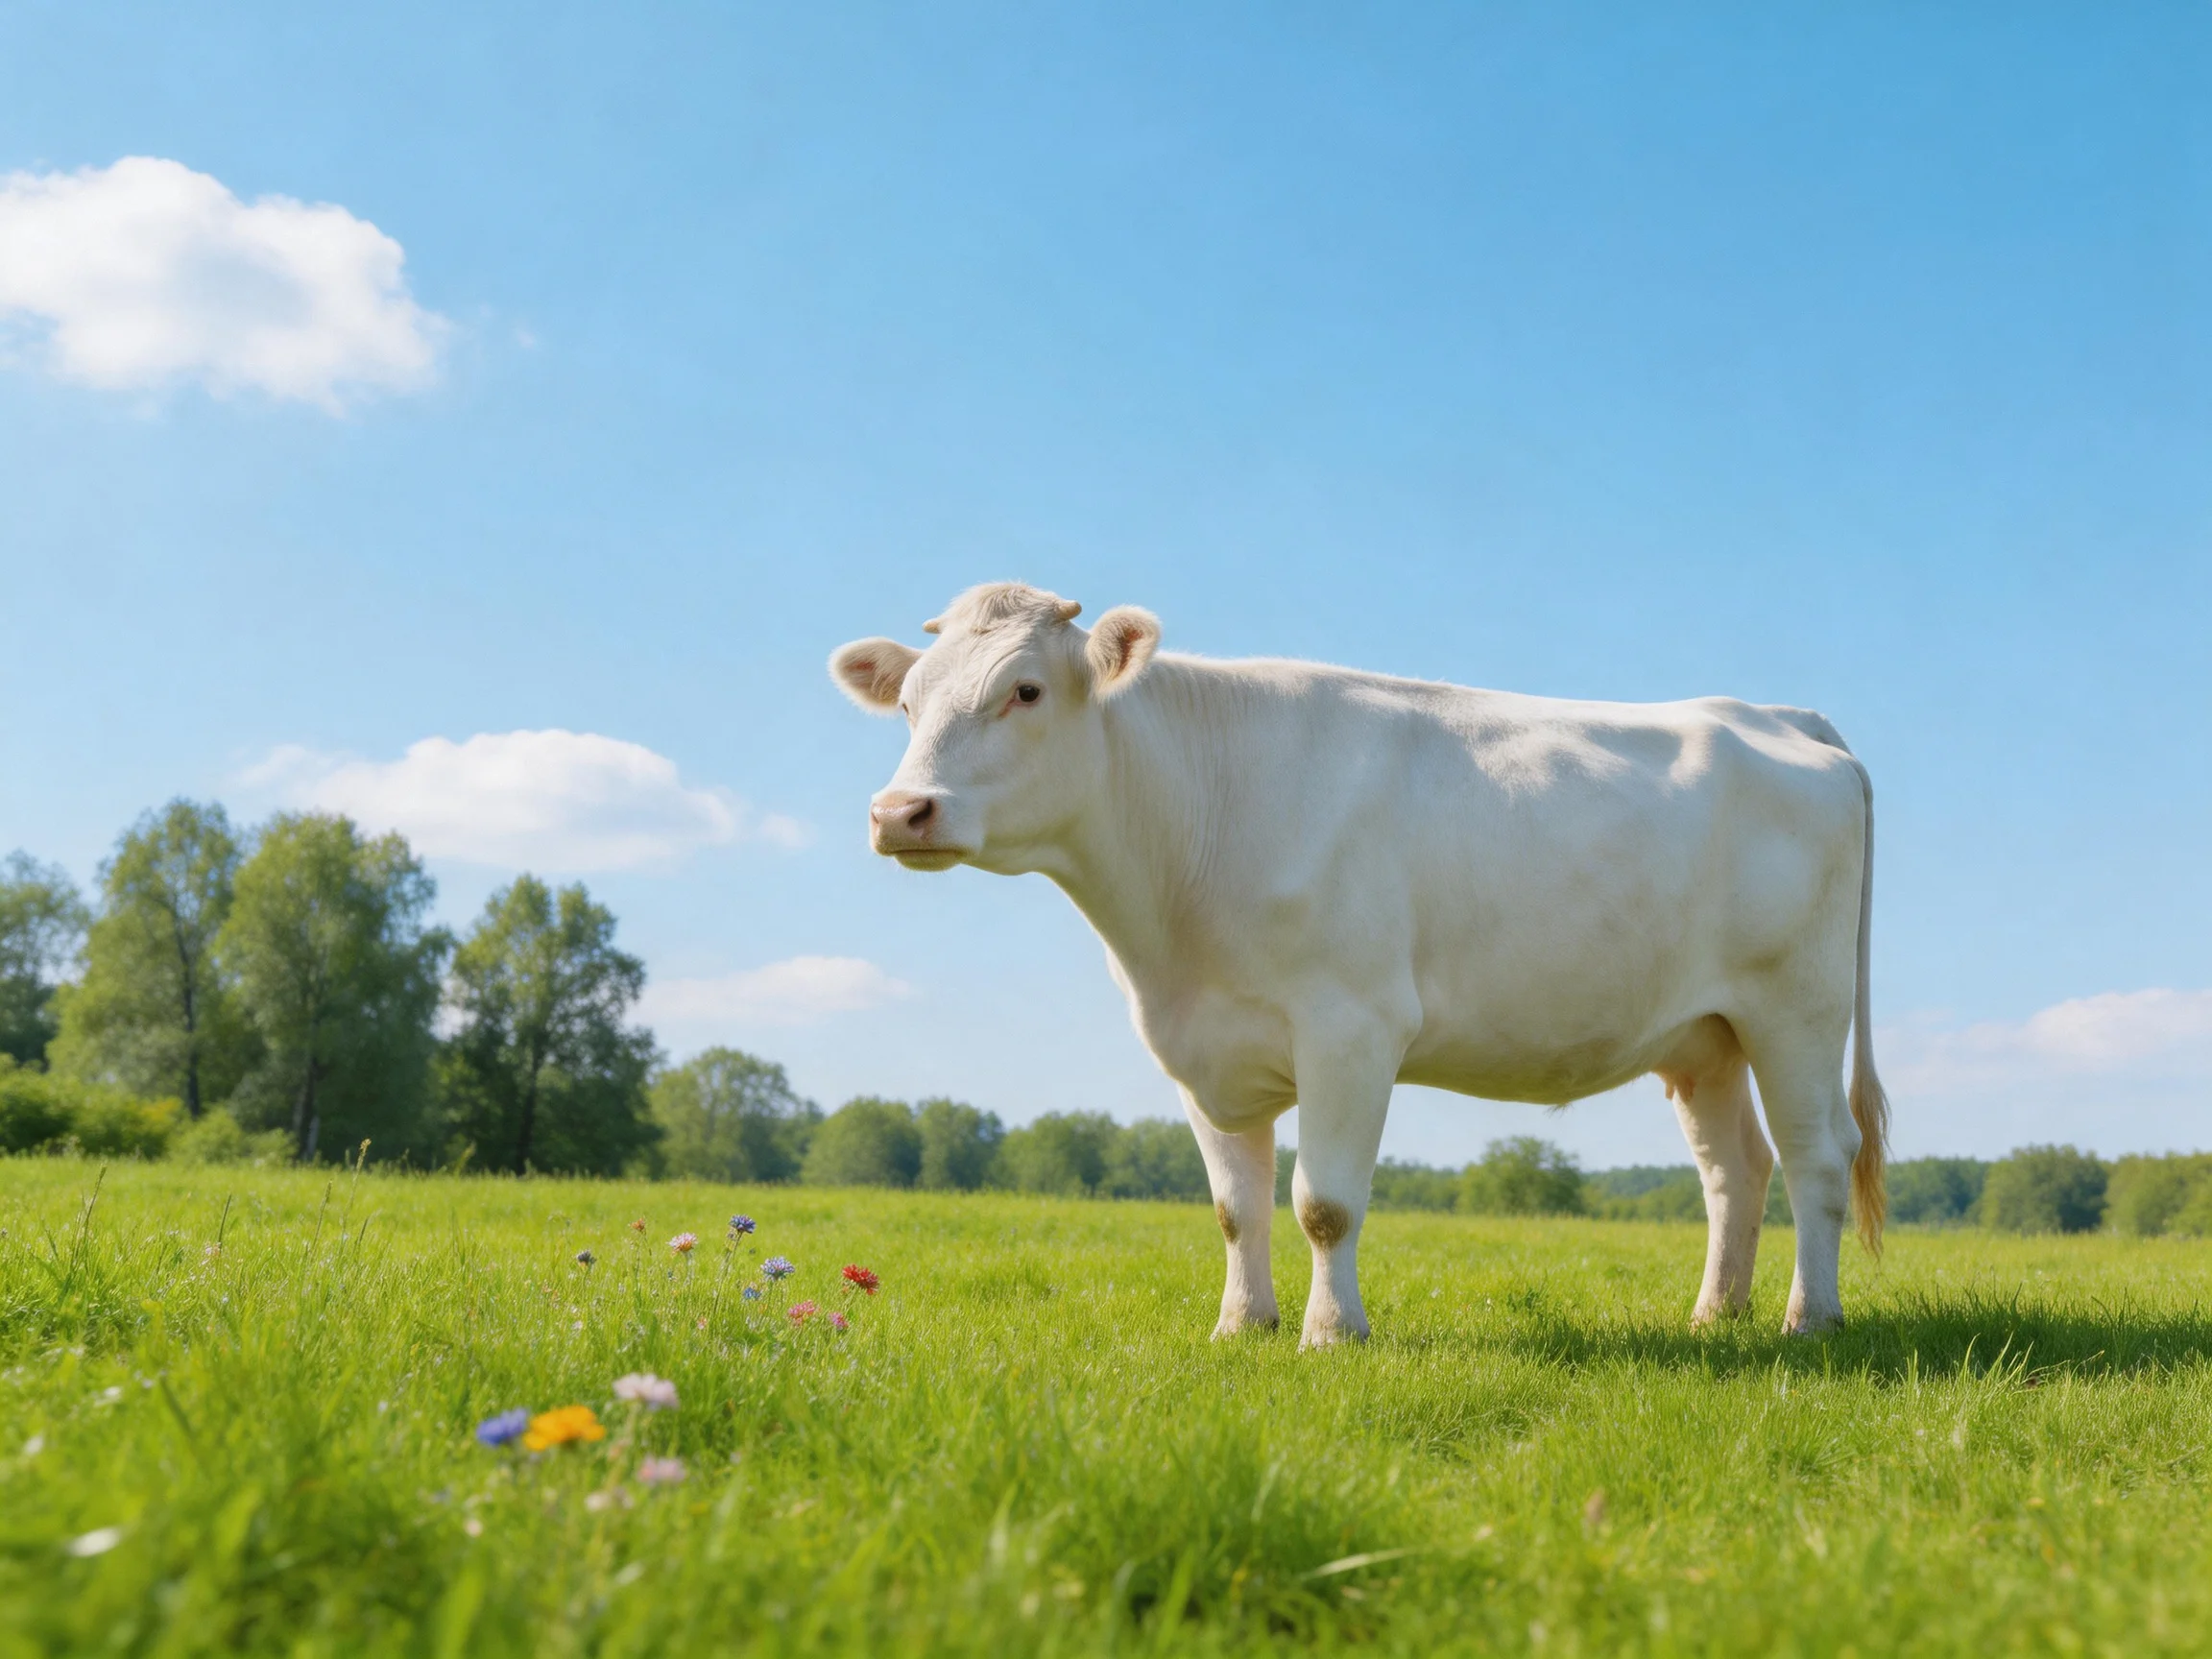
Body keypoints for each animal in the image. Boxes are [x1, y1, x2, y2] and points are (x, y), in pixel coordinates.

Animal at [831, 582, 1889, 1347]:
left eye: (1026, 690)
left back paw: (1810, 1320)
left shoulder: (1351, 1028)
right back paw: (1716, 1316)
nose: (899, 812)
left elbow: (1324, 1205)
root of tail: (1776, 712)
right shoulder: (1198, 1047)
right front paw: (1240, 1326)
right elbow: (1236, 1208)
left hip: (1798, 1010)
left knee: (1817, 1157)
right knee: (1736, 1169)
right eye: (910, 703)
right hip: (1705, 1034)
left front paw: (1333, 1334)